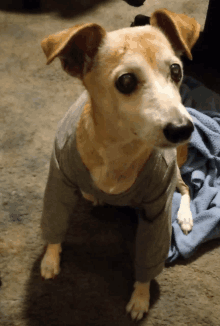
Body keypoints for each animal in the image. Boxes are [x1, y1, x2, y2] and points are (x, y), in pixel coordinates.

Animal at [40, 9, 200, 320]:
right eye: (126, 81)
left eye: (176, 71)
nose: (184, 129)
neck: (118, 150)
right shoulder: (59, 179)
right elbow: (54, 225)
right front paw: (50, 260)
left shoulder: (157, 208)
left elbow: (148, 260)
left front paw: (140, 297)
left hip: (175, 172)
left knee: (186, 188)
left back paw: (186, 217)